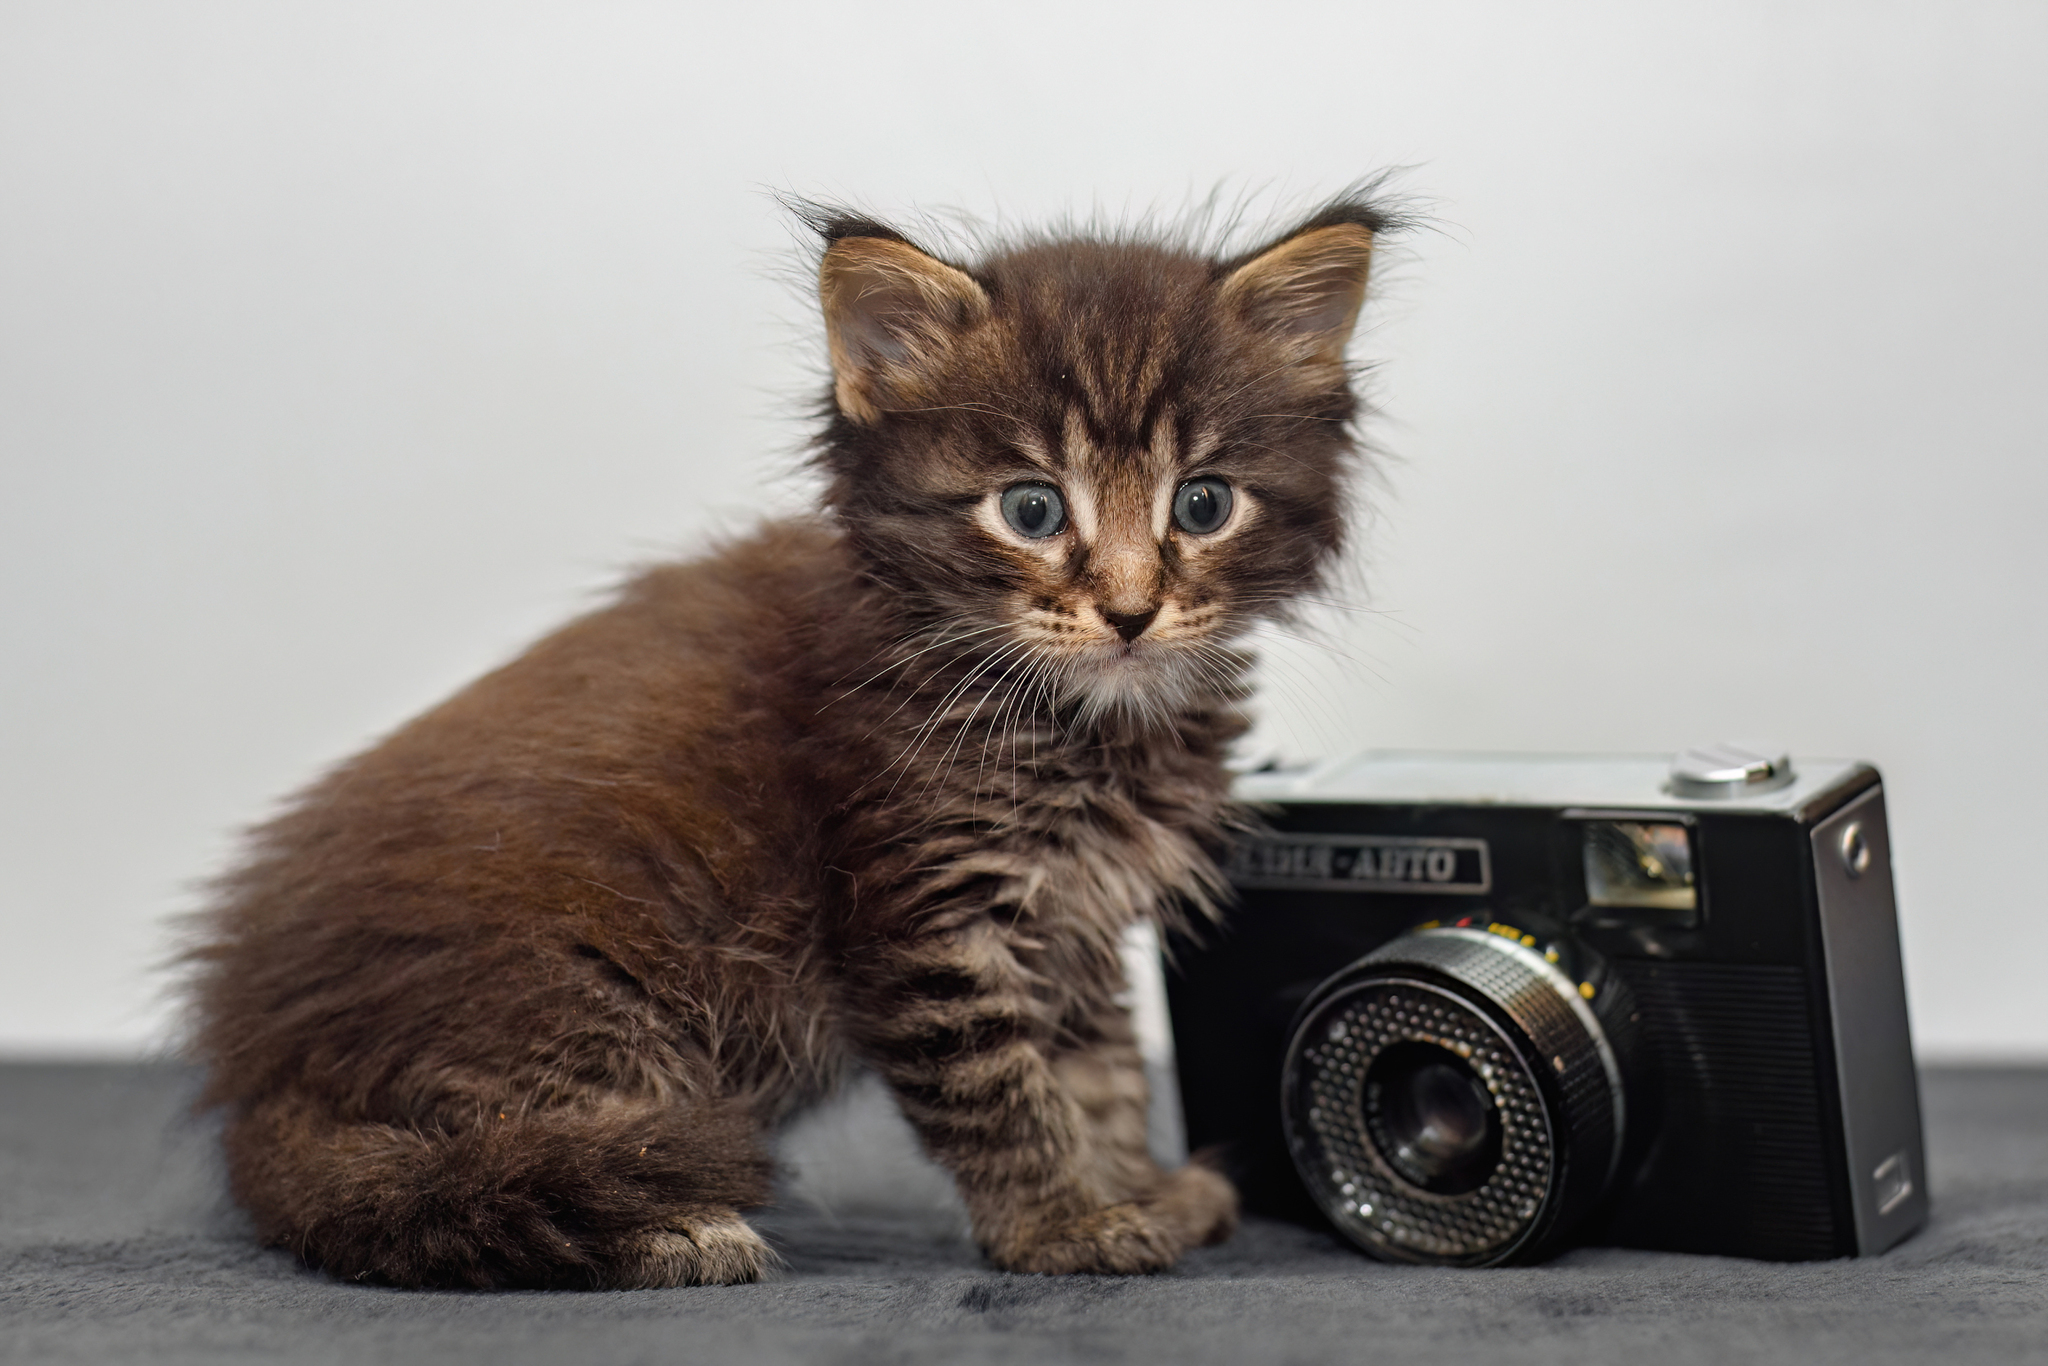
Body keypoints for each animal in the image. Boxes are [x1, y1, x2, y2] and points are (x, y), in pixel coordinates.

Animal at [184, 194, 1384, 1294]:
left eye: (1204, 503)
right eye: (1033, 510)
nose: (1132, 613)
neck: (1085, 724)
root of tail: (264, 1071)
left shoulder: (1073, 920)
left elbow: (1101, 1069)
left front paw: (1135, 1185)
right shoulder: (924, 913)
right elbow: (1000, 1087)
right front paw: (1061, 1224)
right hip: (572, 978)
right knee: (510, 1157)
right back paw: (670, 1227)